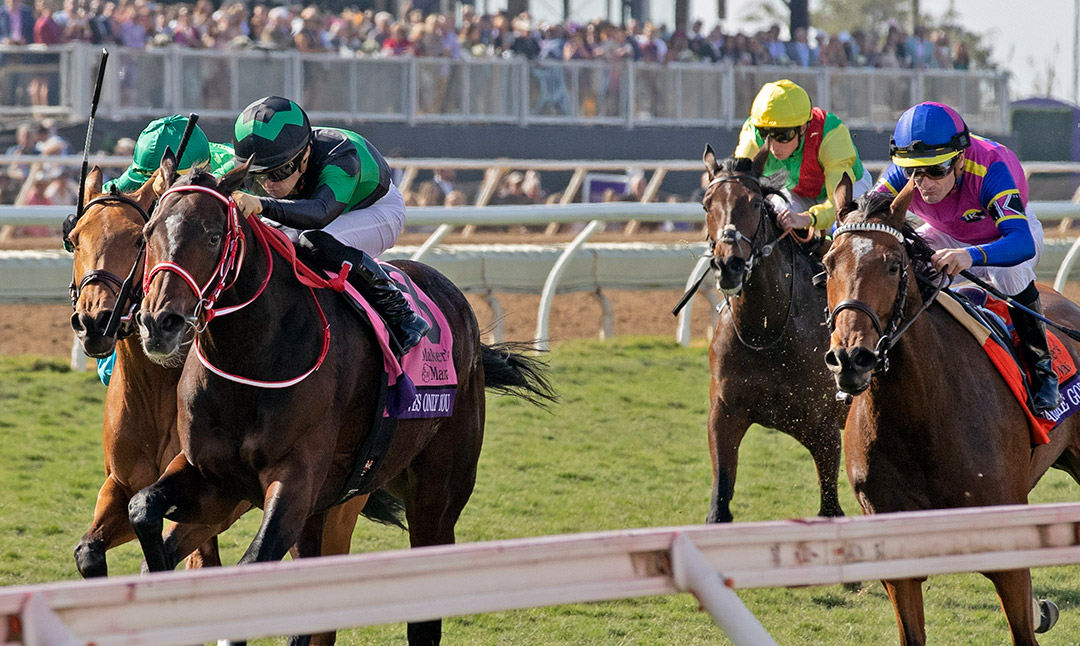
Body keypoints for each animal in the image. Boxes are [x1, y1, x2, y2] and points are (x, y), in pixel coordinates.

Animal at [128, 154, 555, 646]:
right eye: (146, 233)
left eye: (214, 235)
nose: (159, 323)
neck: (251, 358)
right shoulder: (213, 477)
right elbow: (142, 507)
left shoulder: (295, 482)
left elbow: (252, 570)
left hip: (436, 496)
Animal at [700, 144, 845, 523]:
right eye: (707, 204)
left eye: (753, 203)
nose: (729, 265)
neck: (766, 332)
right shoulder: (724, 416)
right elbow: (719, 506)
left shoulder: (824, 429)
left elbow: (831, 509)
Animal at [823, 180, 1080, 645]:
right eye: (828, 263)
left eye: (893, 266)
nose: (851, 358)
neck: (920, 416)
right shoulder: (897, 559)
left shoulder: (1007, 550)